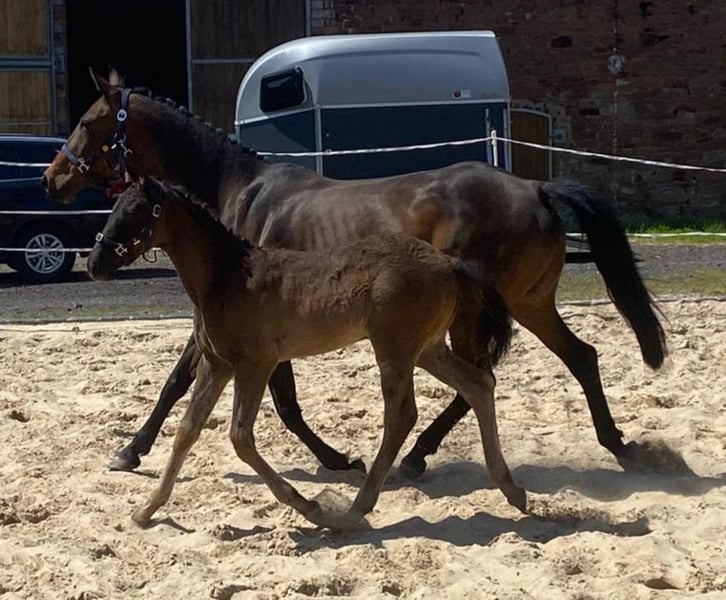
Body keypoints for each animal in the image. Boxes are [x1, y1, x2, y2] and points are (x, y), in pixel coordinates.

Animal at [42, 69, 667, 476]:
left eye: (88, 122)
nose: (51, 178)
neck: (239, 191)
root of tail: (537, 189)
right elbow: (218, 386)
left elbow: (213, 386)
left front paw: (130, 450)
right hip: (529, 304)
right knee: (578, 358)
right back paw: (618, 443)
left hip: (480, 313)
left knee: (481, 378)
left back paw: (416, 456)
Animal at [87, 176, 523, 529]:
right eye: (113, 209)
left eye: (136, 211)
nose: (94, 263)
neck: (229, 279)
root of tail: (450, 263)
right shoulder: (217, 365)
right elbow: (187, 431)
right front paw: (146, 510)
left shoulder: (255, 365)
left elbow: (240, 437)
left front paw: (309, 506)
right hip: (427, 349)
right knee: (479, 383)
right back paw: (512, 490)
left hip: (395, 351)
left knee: (402, 417)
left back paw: (353, 510)